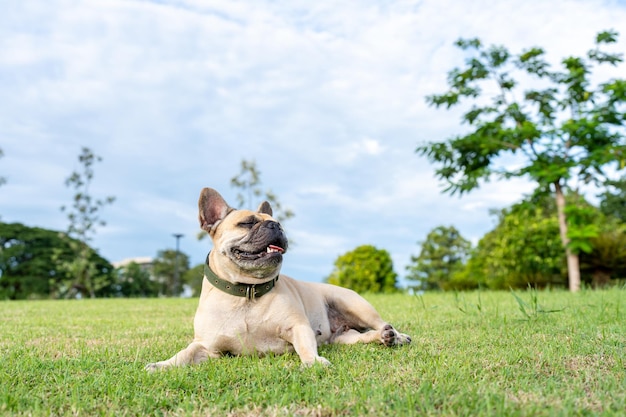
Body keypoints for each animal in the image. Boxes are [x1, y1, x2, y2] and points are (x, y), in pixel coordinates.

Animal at [145, 187, 410, 368]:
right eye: (247, 223)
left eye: (278, 222)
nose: (276, 226)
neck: (247, 292)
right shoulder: (206, 346)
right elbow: (185, 353)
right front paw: (162, 365)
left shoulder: (298, 327)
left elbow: (305, 346)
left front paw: (313, 362)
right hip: (344, 338)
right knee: (362, 337)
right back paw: (383, 338)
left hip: (355, 305)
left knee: (382, 322)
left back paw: (397, 336)